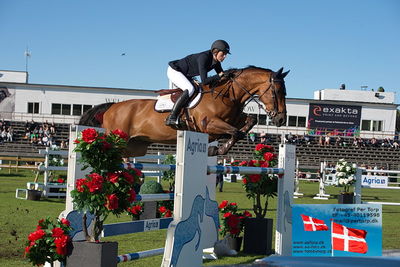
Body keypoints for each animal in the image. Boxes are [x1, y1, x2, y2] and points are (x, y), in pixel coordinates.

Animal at [78, 66, 290, 157]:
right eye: (277, 92)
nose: (280, 120)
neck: (227, 95)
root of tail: (112, 107)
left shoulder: (236, 120)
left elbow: (248, 123)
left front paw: (217, 148)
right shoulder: (208, 124)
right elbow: (235, 132)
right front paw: (216, 149)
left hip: (136, 146)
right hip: (117, 139)